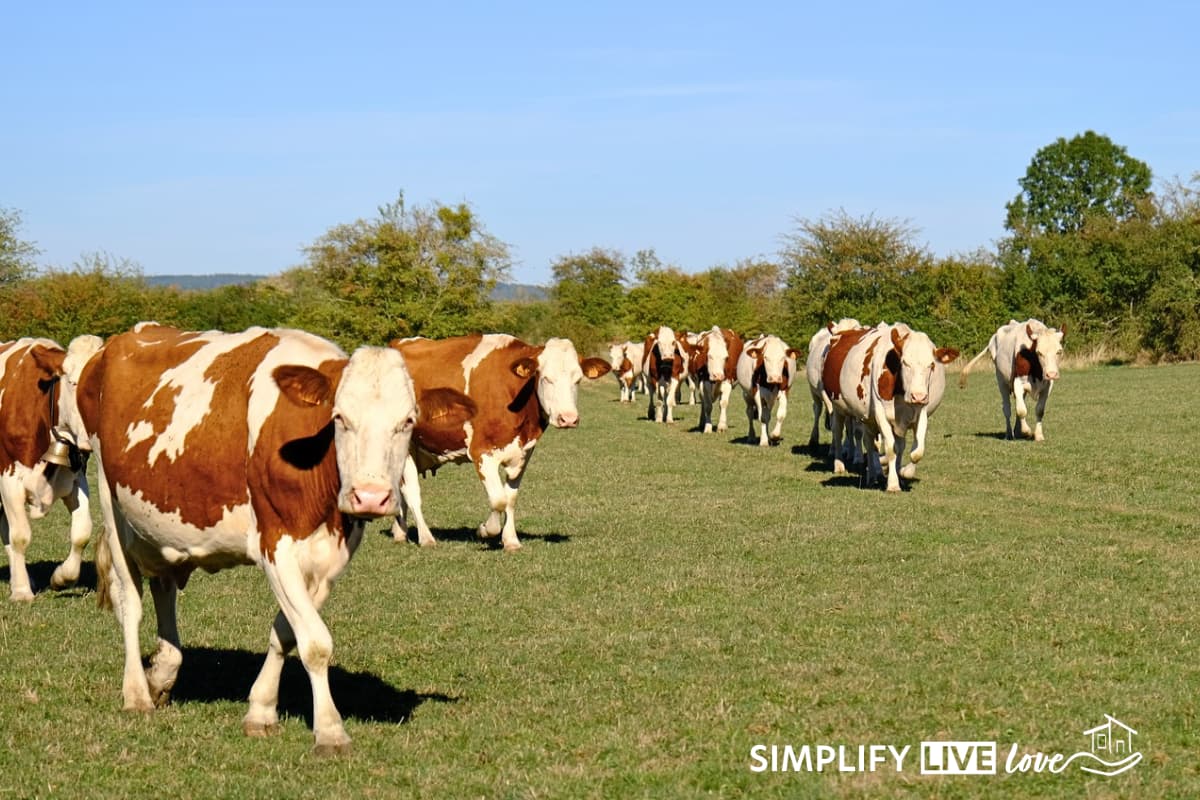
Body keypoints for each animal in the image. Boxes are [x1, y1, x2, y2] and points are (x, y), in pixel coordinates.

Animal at [0, 337, 98, 601]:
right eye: (73, 383)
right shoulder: (8, 481)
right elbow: (19, 535)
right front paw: (22, 592)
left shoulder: (75, 478)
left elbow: (82, 532)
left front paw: (62, 578)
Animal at [56, 325, 475, 753]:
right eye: (340, 418)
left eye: (407, 421)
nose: (370, 497)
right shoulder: (276, 545)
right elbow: (316, 643)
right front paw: (330, 729)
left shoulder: (331, 558)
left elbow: (287, 634)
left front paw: (260, 710)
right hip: (112, 505)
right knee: (130, 600)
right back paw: (138, 693)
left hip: (162, 527)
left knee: (164, 588)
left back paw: (163, 672)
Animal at [389, 334, 610, 552]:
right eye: (547, 378)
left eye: (578, 380)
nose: (569, 418)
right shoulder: (481, 452)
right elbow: (498, 500)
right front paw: (485, 530)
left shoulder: (523, 453)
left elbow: (510, 499)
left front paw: (511, 540)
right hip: (404, 448)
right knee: (412, 493)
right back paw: (426, 537)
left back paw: (400, 532)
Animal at [823, 322, 959, 492]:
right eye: (905, 362)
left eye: (932, 364)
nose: (918, 395)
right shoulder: (881, 414)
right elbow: (891, 448)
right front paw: (893, 484)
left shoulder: (920, 412)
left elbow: (917, 452)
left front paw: (904, 472)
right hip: (839, 407)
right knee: (839, 432)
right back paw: (840, 465)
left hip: (868, 418)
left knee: (871, 442)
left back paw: (873, 475)